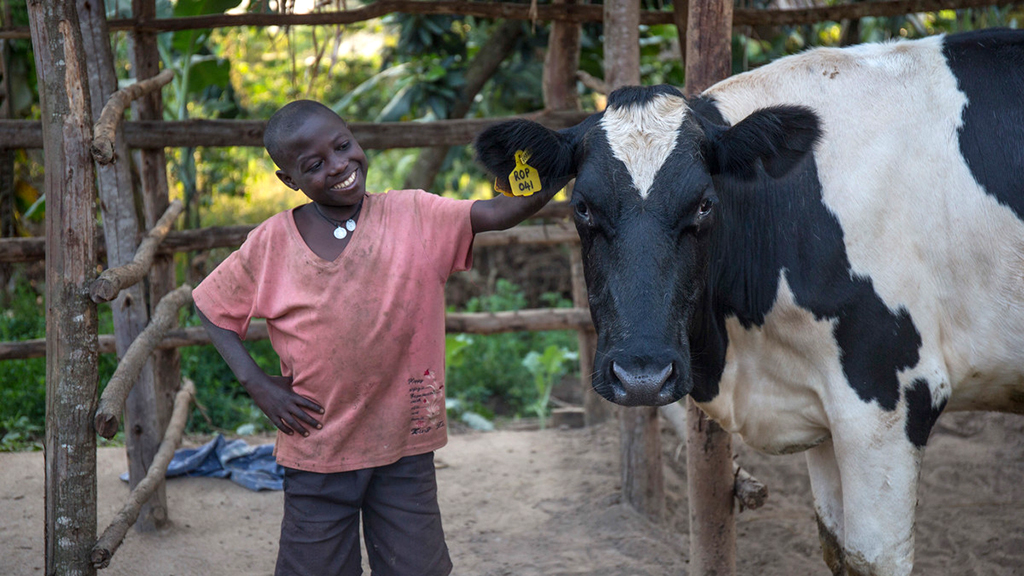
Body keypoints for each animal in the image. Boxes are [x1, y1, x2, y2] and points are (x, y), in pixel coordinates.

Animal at [475, 29, 1024, 573]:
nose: (642, 376)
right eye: (582, 207)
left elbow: (874, 557)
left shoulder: (890, 399)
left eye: (704, 204)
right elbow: (838, 550)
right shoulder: (828, 410)